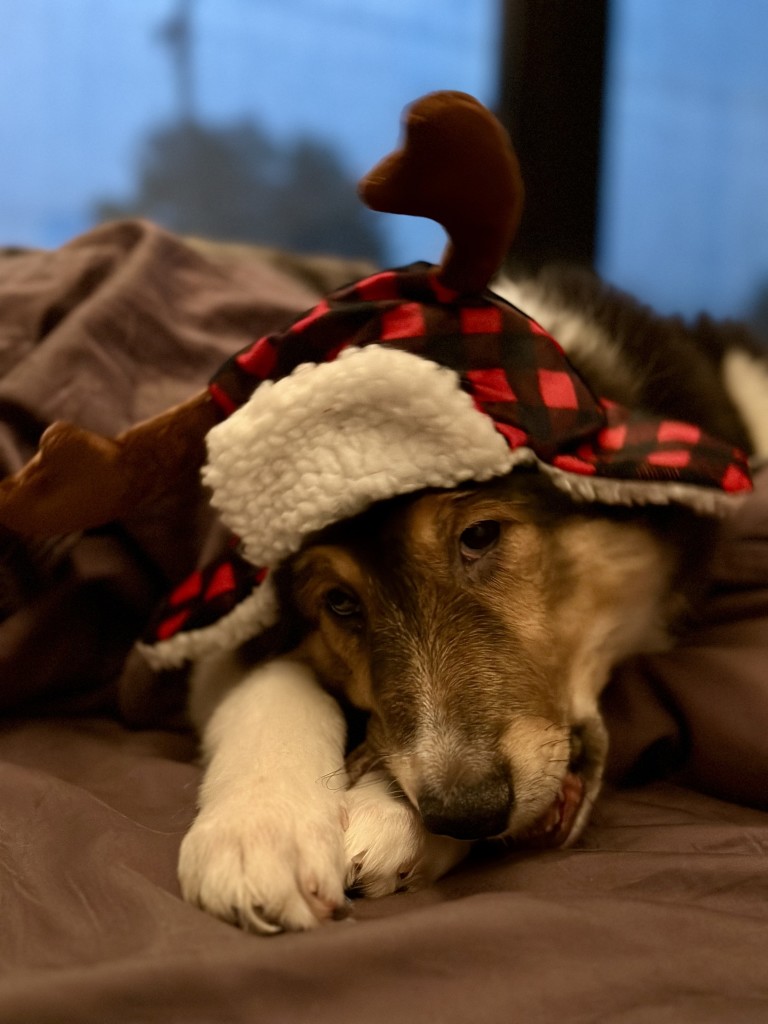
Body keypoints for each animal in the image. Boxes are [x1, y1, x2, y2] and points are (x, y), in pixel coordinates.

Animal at [176, 266, 768, 937]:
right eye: (340, 602)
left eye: (480, 536)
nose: (465, 812)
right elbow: (267, 683)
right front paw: (257, 832)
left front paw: (386, 817)